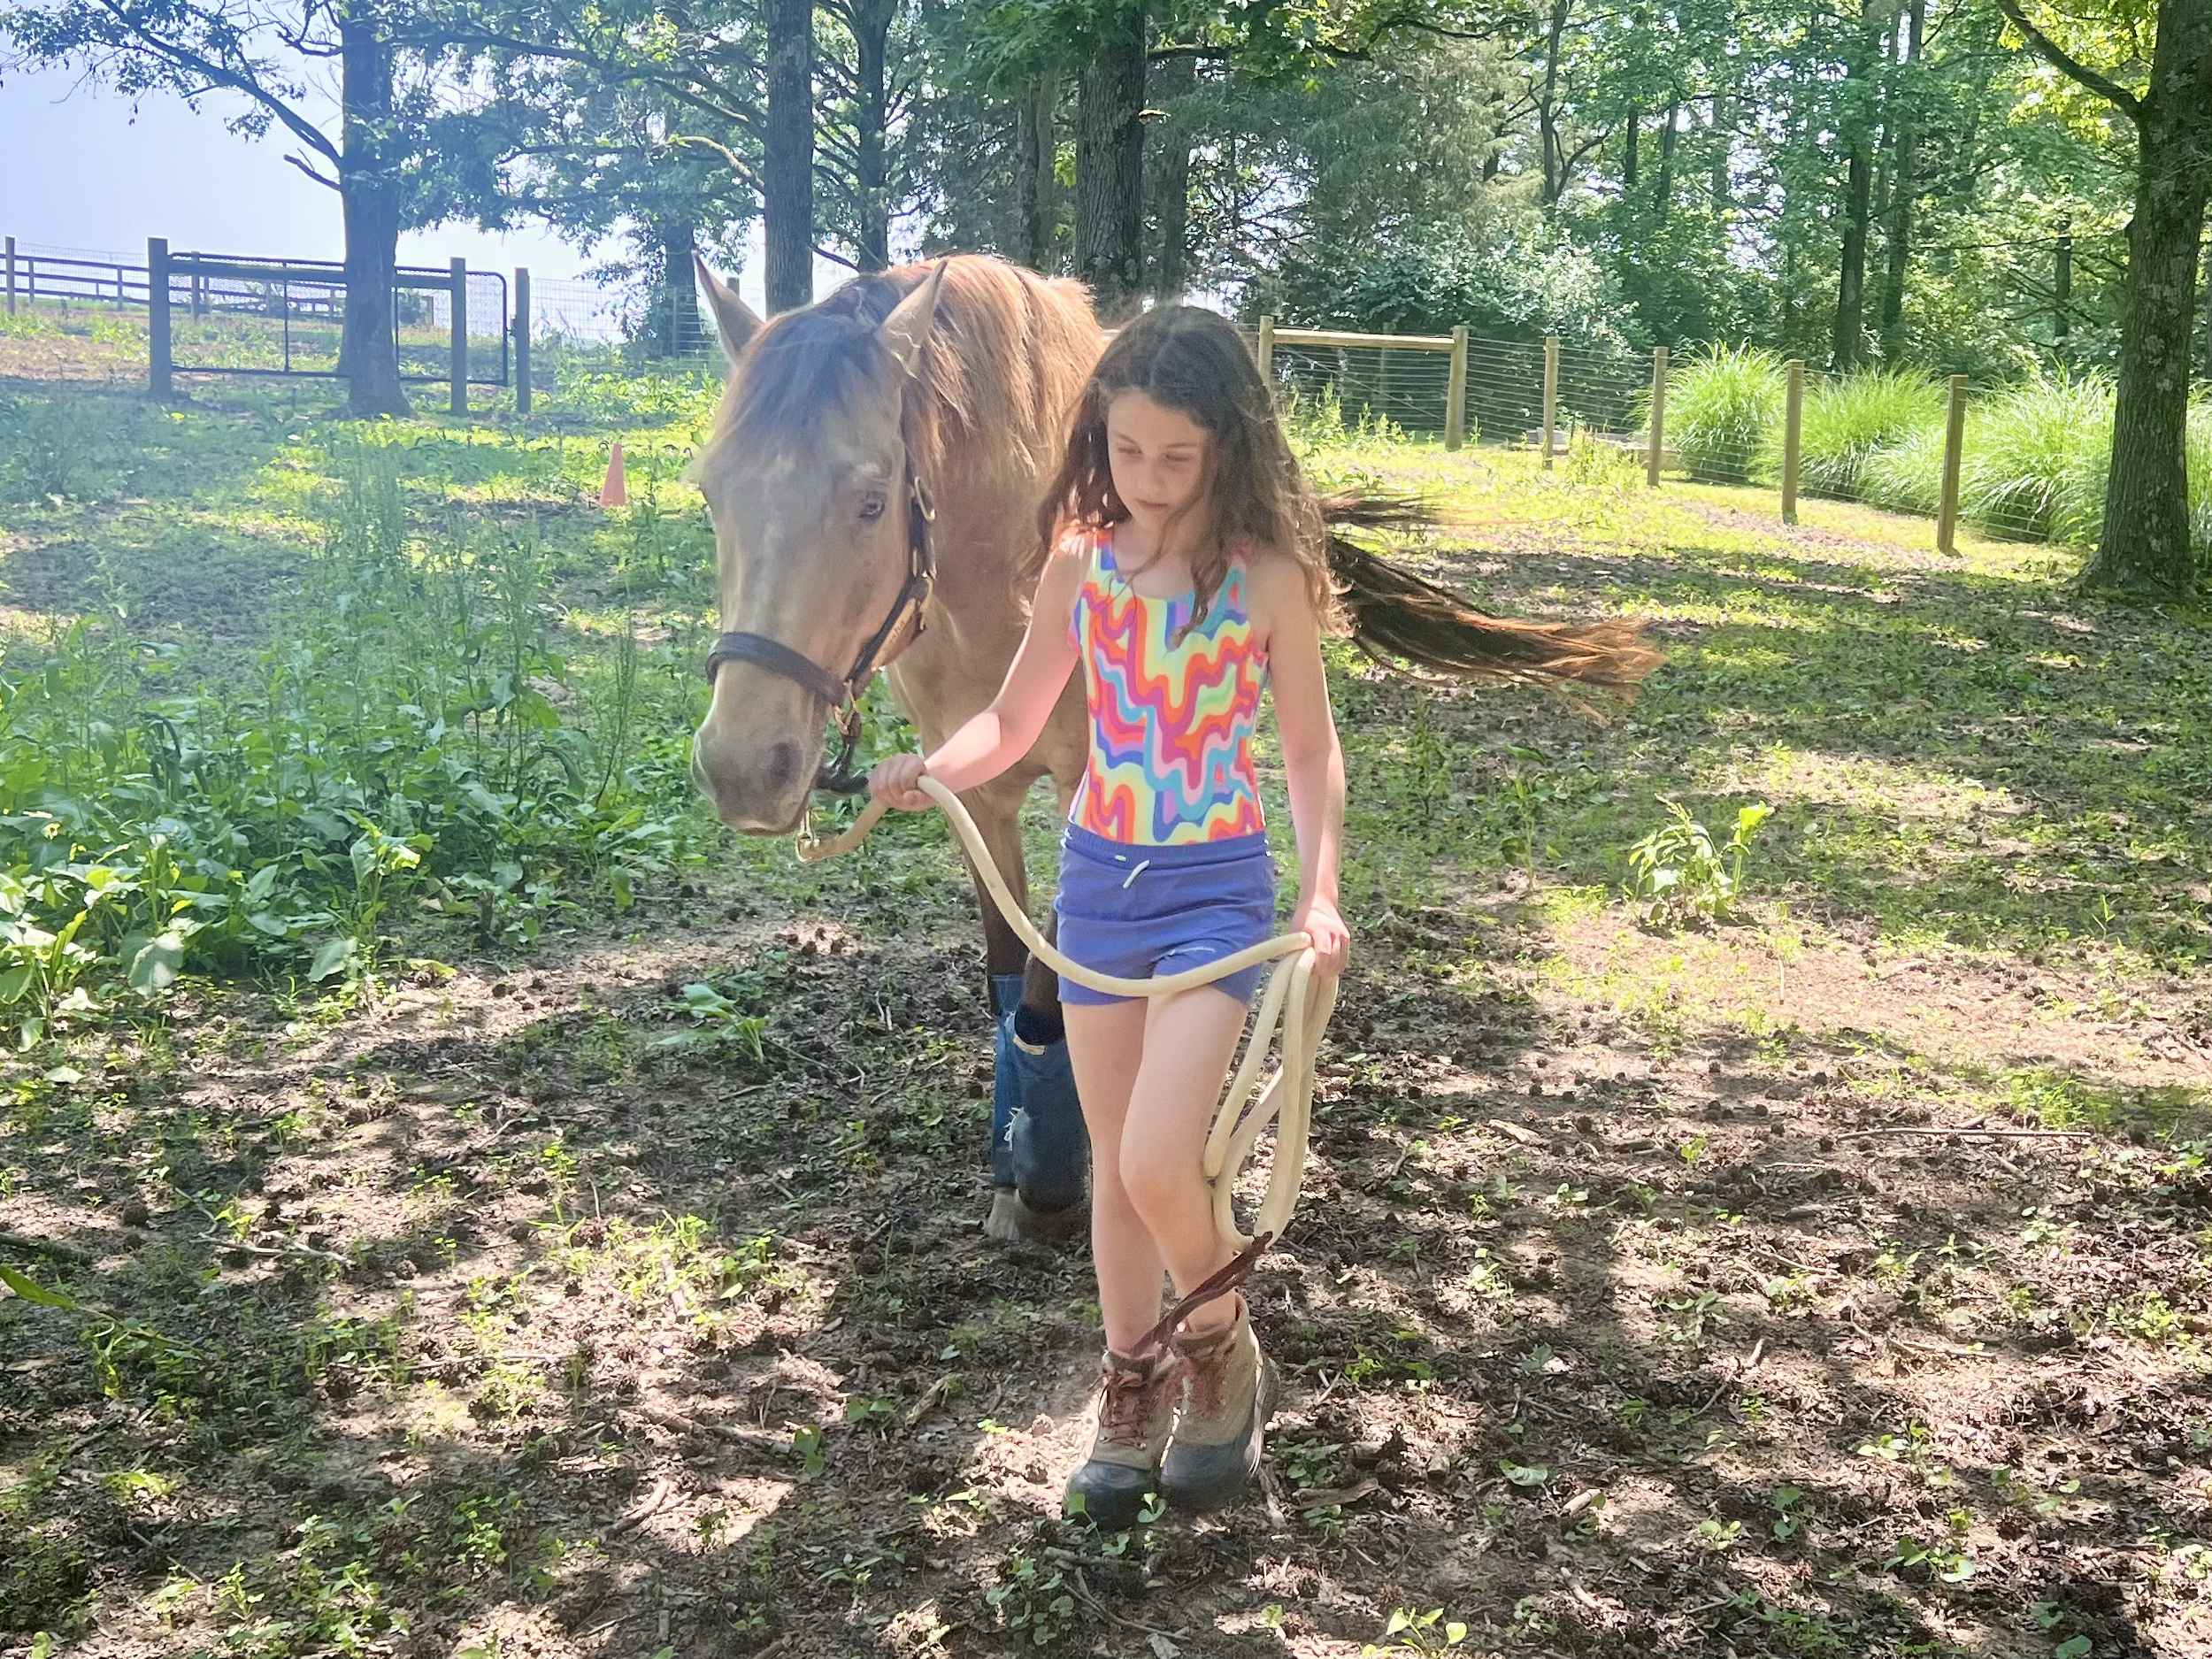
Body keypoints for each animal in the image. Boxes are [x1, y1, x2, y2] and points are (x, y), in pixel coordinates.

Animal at [686, 253, 1657, 1243]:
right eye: (711, 494)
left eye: (871, 500)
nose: (743, 767)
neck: (992, 580)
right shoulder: (974, 791)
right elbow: (1006, 967)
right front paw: (1009, 1162)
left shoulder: (1081, 785)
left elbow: (1050, 980)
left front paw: (1049, 1173)